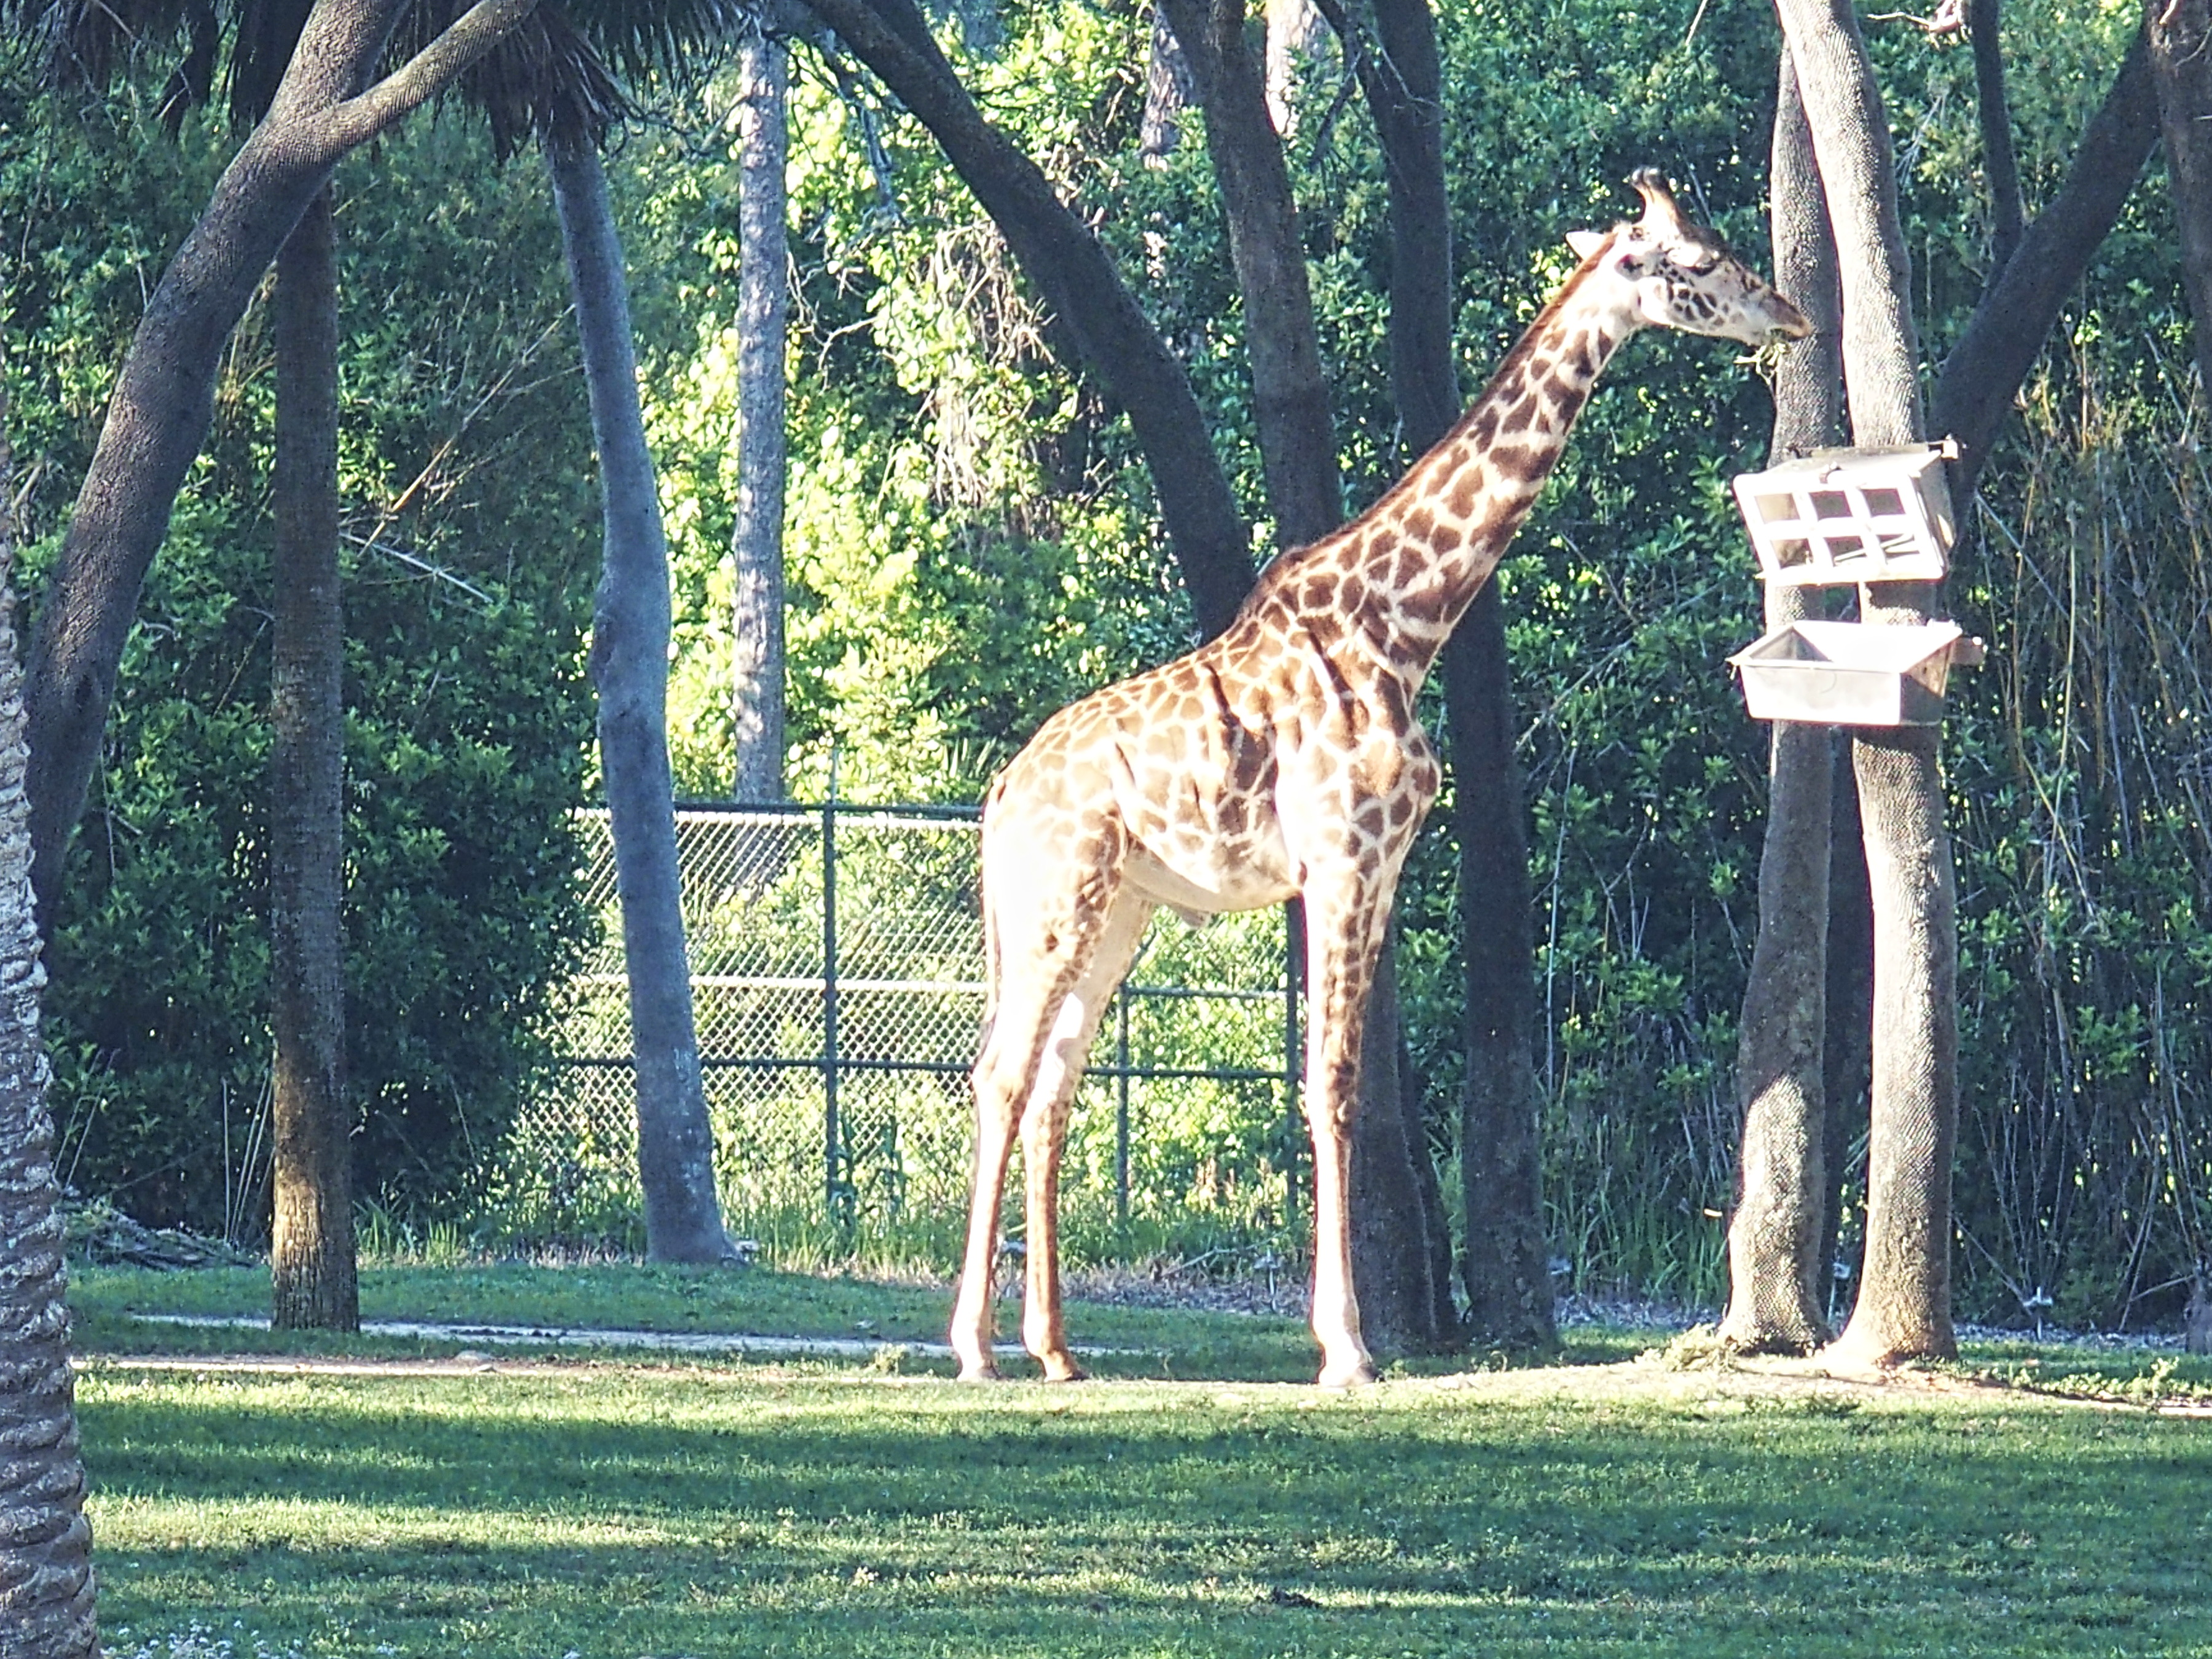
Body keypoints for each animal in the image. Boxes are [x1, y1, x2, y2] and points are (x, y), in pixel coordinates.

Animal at [951, 170, 1809, 1387]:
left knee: (1054, 1084)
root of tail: (999, 801)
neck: (1407, 625)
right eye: (1697, 262)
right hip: (1055, 904)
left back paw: (1057, 1350)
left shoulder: (1385, 868)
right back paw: (976, 1347)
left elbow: (1354, 1087)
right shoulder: (1341, 858)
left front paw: (1343, 1337)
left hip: (1121, 915)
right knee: (1001, 1076)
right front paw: (1348, 1349)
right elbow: (1334, 1085)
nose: (1790, 312)